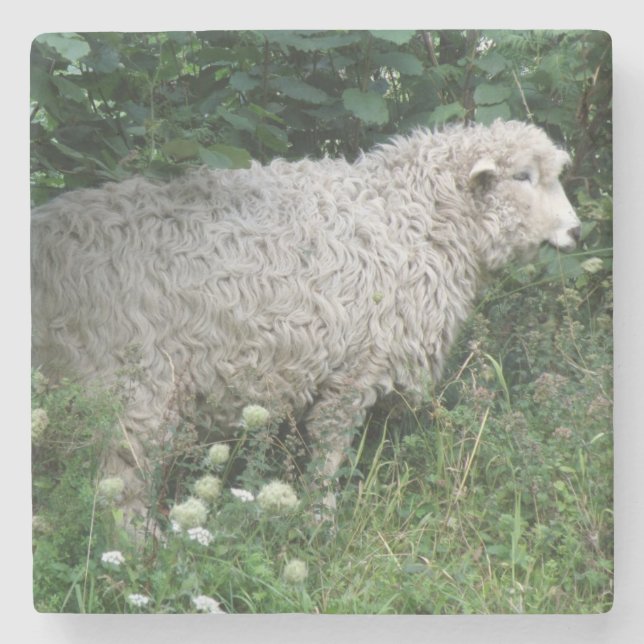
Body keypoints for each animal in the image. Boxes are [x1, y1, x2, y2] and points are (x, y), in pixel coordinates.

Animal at [31, 119, 581, 524]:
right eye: (523, 177)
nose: (577, 231)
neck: (413, 219)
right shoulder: (356, 366)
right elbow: (330, 450)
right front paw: (321, 517)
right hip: (129, 381)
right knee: (120, 480)